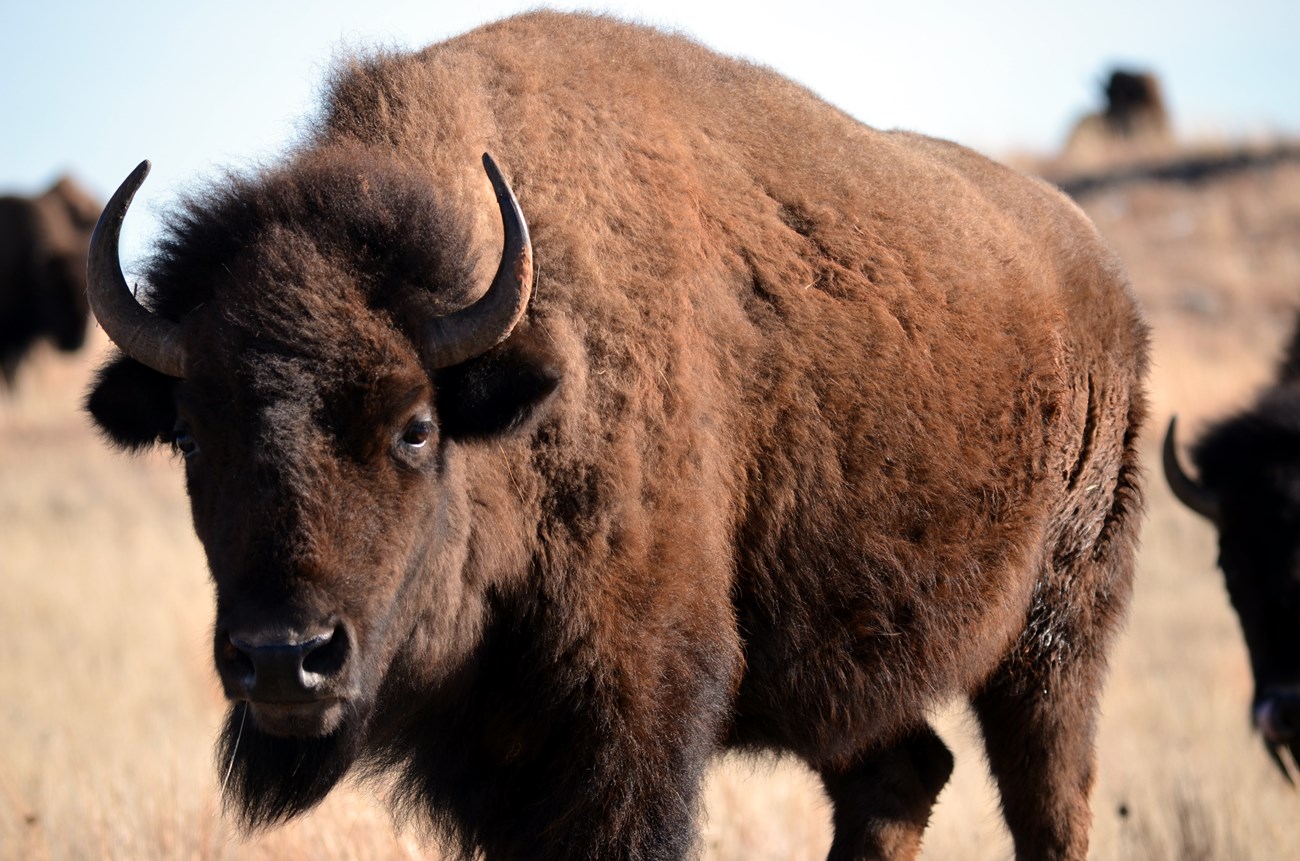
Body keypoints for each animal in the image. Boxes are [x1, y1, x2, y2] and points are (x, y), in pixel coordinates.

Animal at [83, 13, 1149, 861]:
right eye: (188, 433)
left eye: (415, 428)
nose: (283, 658)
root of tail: (1101, 277)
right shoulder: (493, 755)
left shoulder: (634, 714)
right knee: (900, 775)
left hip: (1056, 640)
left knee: (1047, 801)